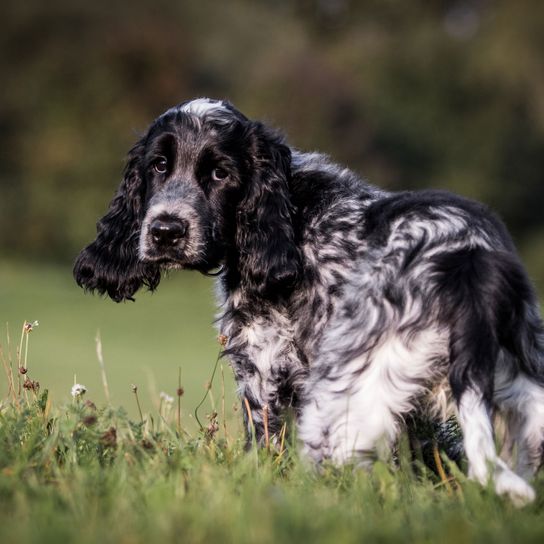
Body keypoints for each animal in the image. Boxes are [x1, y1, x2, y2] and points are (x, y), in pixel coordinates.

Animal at [73, 98, 544, 506]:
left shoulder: (262, 374)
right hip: (525, 391)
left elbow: (263, 454)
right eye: (159, 165)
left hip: (342, 400)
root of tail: (466, 258)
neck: (286, 212)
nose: (165, 232)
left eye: (221, 174)